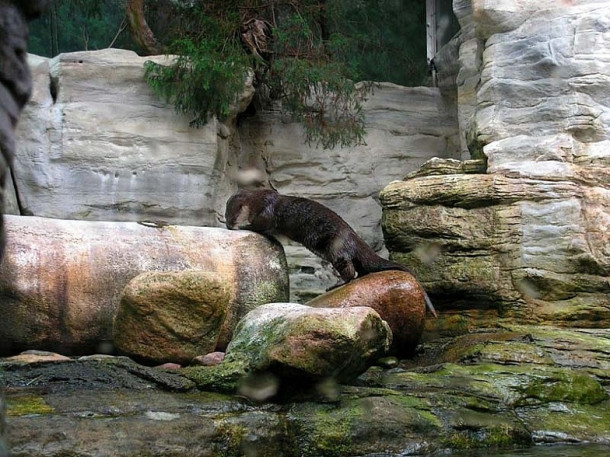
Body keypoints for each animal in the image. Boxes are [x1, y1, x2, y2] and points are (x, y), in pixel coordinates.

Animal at [226, 188, 434, 318]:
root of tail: (355, 238)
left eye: (231, 216)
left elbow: (261, 224)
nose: (228, 225)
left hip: (336, 249)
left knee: (350, 271)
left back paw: (336, 285)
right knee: (360, 269)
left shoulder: (266, 210)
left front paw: (242, 226)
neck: (256, 201)